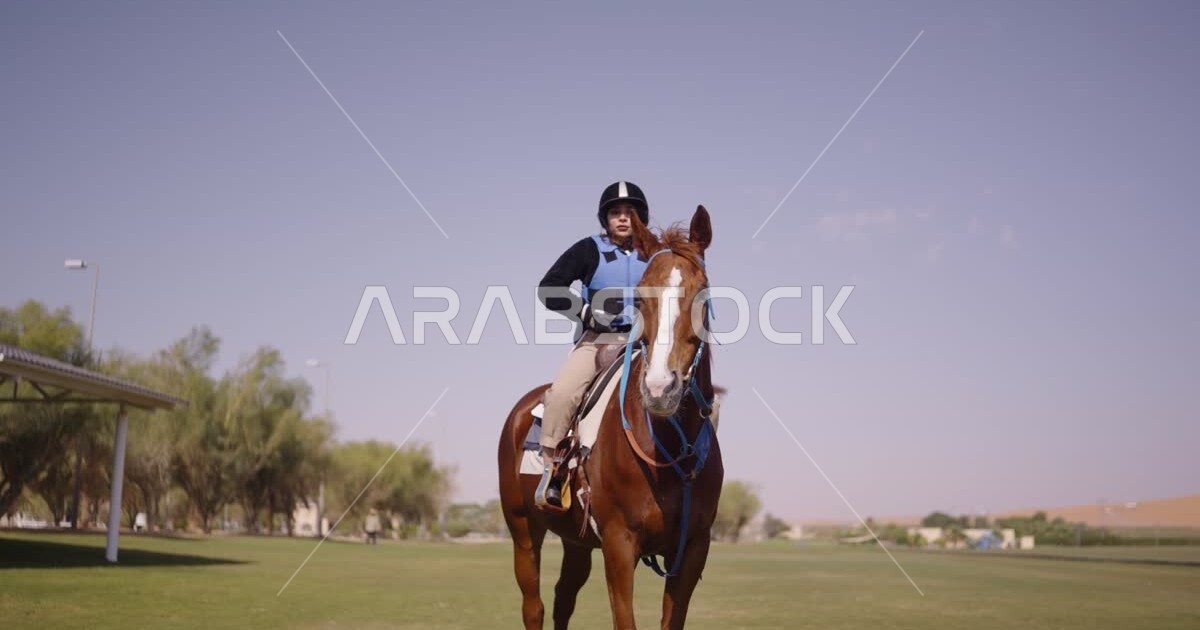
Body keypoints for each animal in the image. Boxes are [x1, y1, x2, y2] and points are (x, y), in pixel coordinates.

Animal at [497, 206, 722, 629]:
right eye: (642, 296)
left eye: (701, 291)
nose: (659, 387)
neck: (669, 450)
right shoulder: (619, 546)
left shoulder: (692, 551)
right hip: (523, 531)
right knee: (534, 606)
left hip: (576, 540)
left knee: (563, 599)